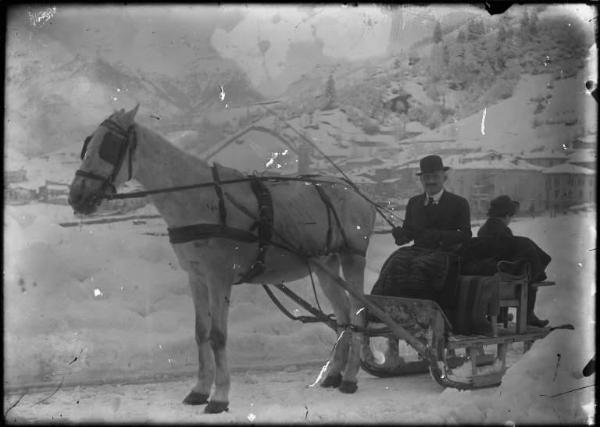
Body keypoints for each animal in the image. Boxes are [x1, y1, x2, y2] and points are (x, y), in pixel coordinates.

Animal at [69, 104, 376, 414]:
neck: (199, 198)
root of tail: (356, 191)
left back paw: (350, 378)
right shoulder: (196, 276)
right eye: (88, 145)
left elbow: (217, 336)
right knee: (342, 316)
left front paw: (219, 396)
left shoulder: (219, 277)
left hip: (353, 258)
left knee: (358, 313)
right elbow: (200, 332)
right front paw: (199, 390)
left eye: (108, 146)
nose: (76, 195)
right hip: (325, 266)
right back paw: (334, 374)